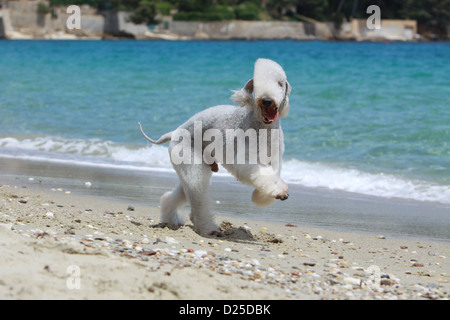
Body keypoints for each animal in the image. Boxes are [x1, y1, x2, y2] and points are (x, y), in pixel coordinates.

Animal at [138, 58, 292, 236]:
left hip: (189, 171)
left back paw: (171, 220)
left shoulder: (274, 159)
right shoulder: (245, 160)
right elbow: (262, 175)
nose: (267, 100)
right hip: (193, 165)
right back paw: (209, 229)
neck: (262, 126)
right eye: (258, 84)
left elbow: (271, 176)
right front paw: (279, 191)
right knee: (198, 201)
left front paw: (263, 196)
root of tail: (174, 132)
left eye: (280, 83)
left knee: (173, 196)